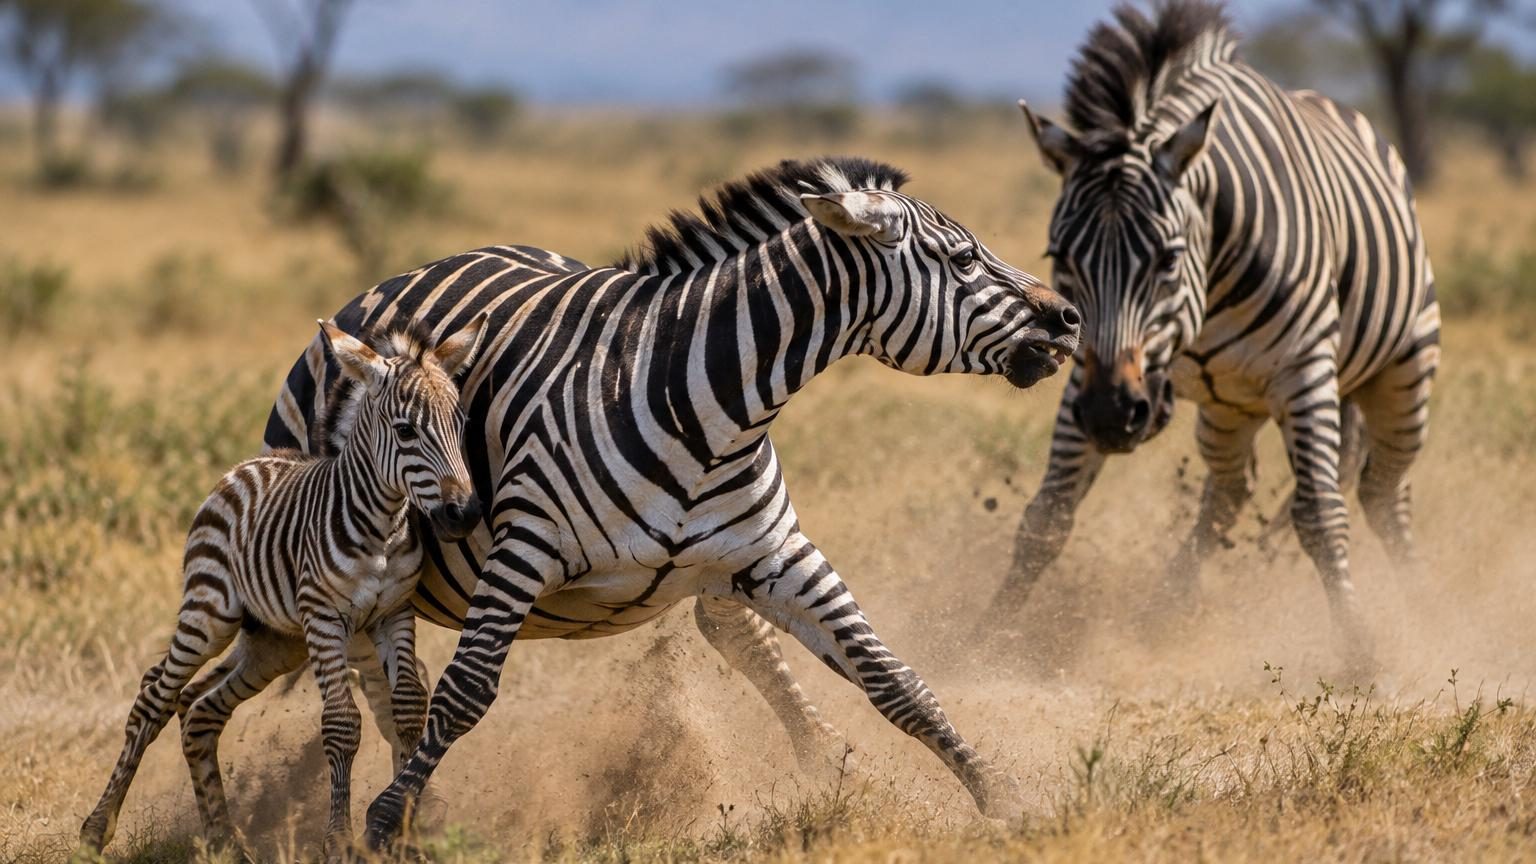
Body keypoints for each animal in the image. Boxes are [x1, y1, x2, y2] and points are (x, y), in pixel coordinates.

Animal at [78, 314, 488, 862]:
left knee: (200, 708)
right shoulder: (324, 616)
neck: (382, 526)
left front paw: (404, 836)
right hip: (210, 613)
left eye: (460, 425)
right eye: (405, 431)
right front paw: (338, 841)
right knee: (153, 696)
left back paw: (225, 841)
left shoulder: (394, 612)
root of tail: (241, 468)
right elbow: (341, 723)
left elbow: (406, 708)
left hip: (274, 640)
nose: (463, 514)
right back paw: (96, 829)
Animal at [259, 156, 1081, 845]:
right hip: (346, 566)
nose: (1071, 318)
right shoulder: (523, 551)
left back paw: (825, 754)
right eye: (963, 259)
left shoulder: (776, 551)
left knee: (735, 630)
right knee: (378, 680)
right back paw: (414, 807)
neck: (718, 412)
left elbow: (893, 678)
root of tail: (393, 282)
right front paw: (385, 820)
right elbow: (464, 693)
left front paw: (1007, 798)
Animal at [992, 0, 1440, 674]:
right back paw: (1166, 604)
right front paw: (977, 638)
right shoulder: (1083, 370)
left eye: (1167, 259)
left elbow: (1321, 516)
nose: (1111, 415)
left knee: (1384, 492)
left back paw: (1420, 609)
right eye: (1060, 258)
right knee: (1231, 490)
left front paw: (1361, 652)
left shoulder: (1306, 370)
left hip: (1406, 370)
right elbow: (1048, 513)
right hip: (1228, 407)